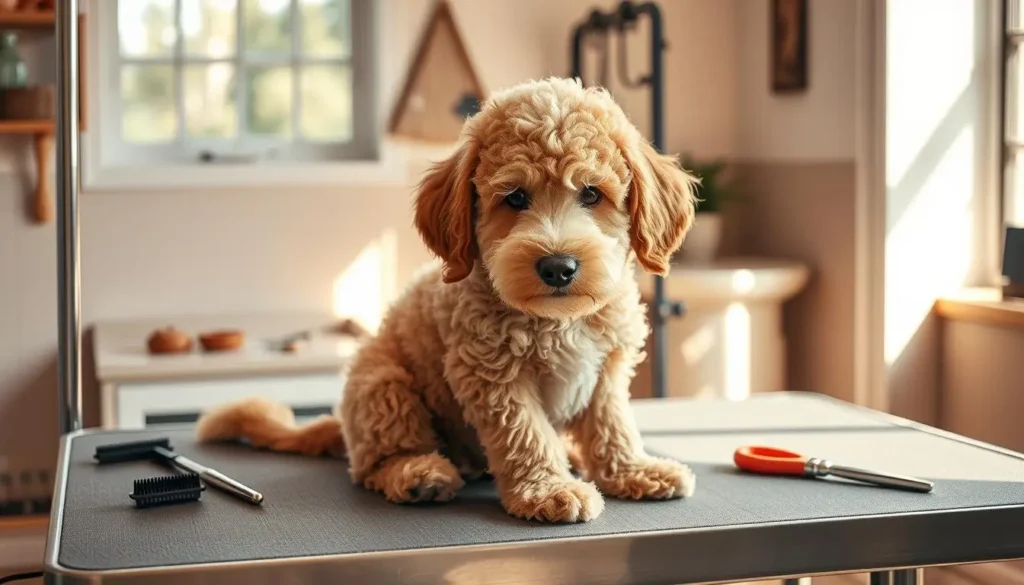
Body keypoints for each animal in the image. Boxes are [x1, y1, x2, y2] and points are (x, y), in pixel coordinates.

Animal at [195, 76, 700, 522]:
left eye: (592, 193)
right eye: (515, 198)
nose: (558, 266)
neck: (556, 319)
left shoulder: (607, 368)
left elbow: (612, 423)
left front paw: (632, 470)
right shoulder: (491, 373)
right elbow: (525, 433)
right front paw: (547, 489)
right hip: (382, 385)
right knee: (375, 461)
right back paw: (417, 472)